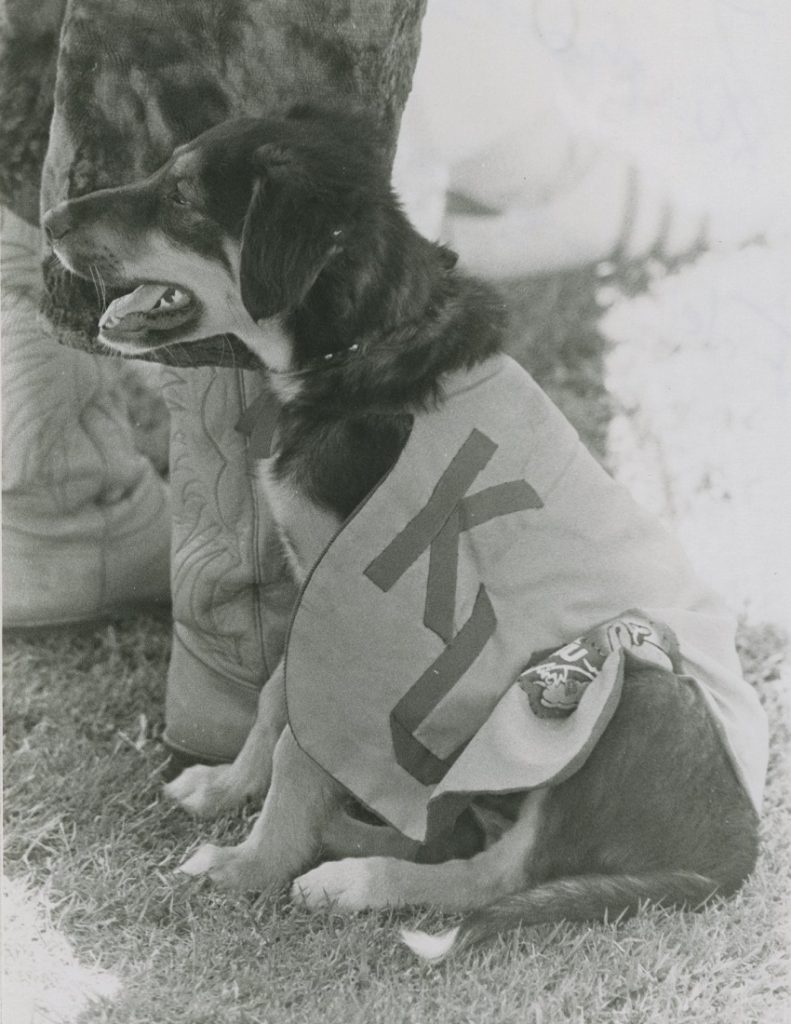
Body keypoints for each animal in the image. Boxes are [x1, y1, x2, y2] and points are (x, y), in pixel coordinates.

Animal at [44, 105, 766, 958]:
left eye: (184, 195)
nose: (49, 221)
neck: (367, 345)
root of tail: (735, 851)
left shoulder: (350, 608)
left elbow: (299, 749)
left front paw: (246, 866)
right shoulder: (312, 593)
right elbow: (276, 703)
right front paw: (227, 790)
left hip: (628, 687)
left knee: (494, 873)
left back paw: (351, 879)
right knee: (452, 833)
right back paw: (347, 838)